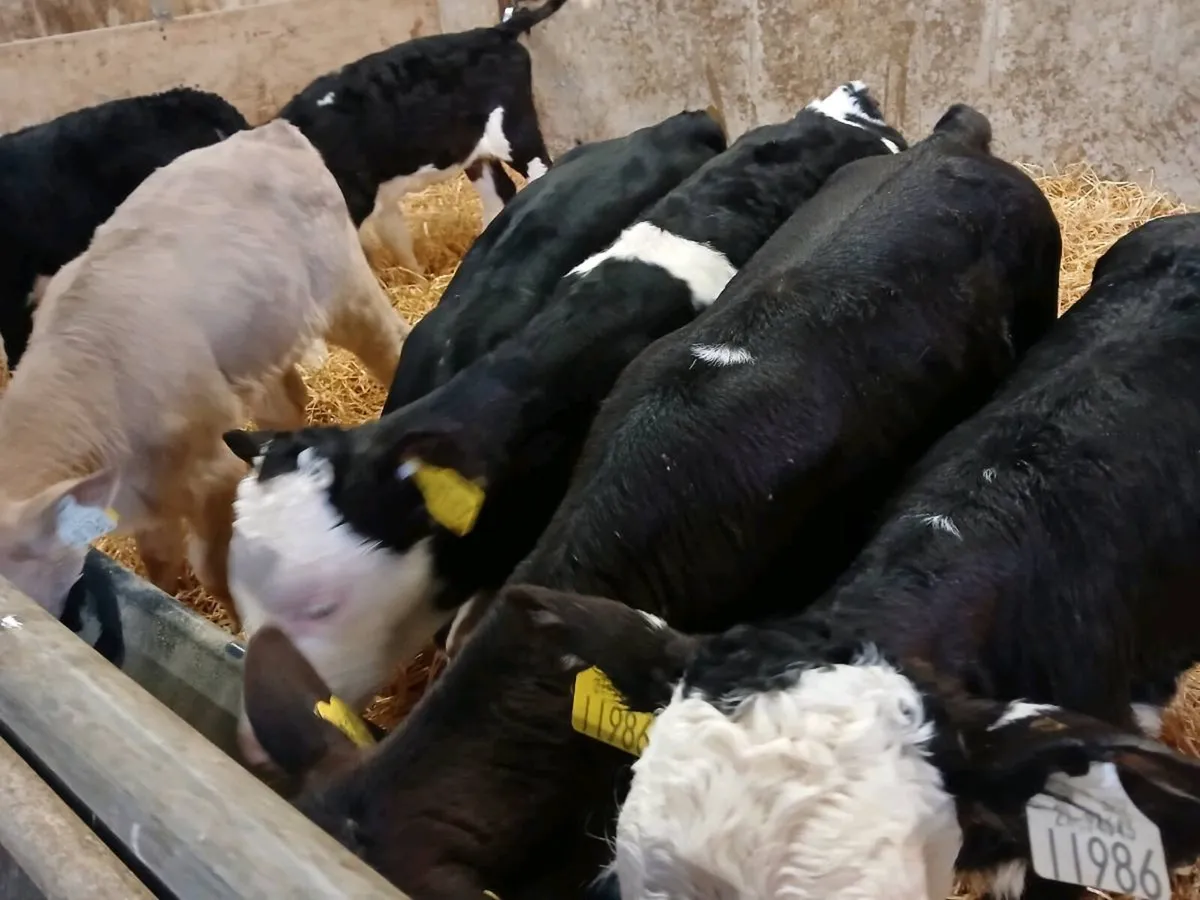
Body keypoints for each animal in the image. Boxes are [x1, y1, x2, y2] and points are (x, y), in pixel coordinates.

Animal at [0, 119, 406, 626]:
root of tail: (268, 131)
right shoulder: (149, 498)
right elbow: (159, 562)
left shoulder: (211, 470)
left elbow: (215, 570)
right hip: (259, 339)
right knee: (288, 400)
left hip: (346, 290)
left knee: (393, 341)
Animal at [276, 0, 594, 273]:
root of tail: (495, 32)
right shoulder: (380, 195)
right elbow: (396, 238)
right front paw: (416, 275)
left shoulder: (356, 199)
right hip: (475, 150)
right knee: (500, 190)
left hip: (515, 131)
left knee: (540, 170)